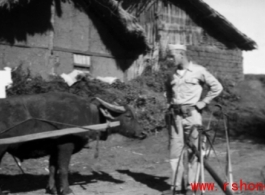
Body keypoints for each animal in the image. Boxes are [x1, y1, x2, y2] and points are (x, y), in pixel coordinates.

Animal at [0, 92, 145, 194]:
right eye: (128, 116)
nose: (143, 133)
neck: (90, 116)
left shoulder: (55, 149)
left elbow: (53, 168)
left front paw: (52, 188)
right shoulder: (65, 146)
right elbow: (64, 169)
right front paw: (66, 190)